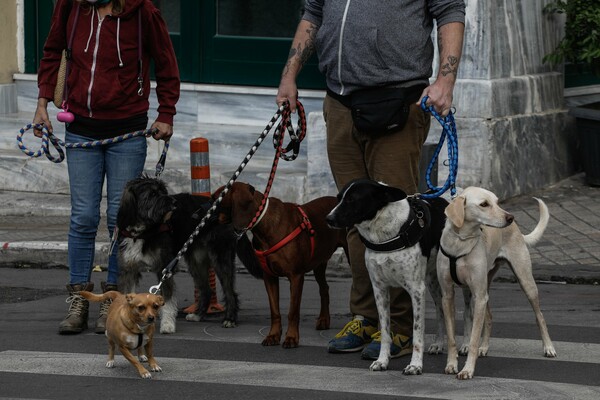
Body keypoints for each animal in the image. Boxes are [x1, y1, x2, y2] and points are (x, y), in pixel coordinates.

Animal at [116, 176, 258, 334]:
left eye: (163, 191)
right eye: (152, 194)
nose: (174, 203)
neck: (143, 232)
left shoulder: (164, 269)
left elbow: (167, 300)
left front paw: (167, 325)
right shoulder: (129, 270)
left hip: (221, 257)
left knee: (230, 292)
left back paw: (230, 319)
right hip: (196, 261)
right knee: (206, 290)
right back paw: (198, 315)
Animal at [214, 183, 346, 348]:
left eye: (219, 197)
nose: (202, 214)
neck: (264, 226)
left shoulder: (296, 277)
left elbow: (293, 312)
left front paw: (291, 337)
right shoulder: (269, 277)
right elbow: (275, 311)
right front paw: (273, 336)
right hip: (319, 263)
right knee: (324, 289)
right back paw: (323, 320)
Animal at [436, 186, 556, 380]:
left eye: (497, 201)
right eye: (484, 204)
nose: (510, 217)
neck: (461, 242)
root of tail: (517, 229)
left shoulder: (478, 295)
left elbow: (473, 339)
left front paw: (467, 369)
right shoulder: (447, 296)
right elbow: (452, 338)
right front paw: (452, 365)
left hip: (525, 282)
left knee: (540, 316)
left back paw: (549, 347)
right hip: (485, 288)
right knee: (490, 316)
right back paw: (484, 347)